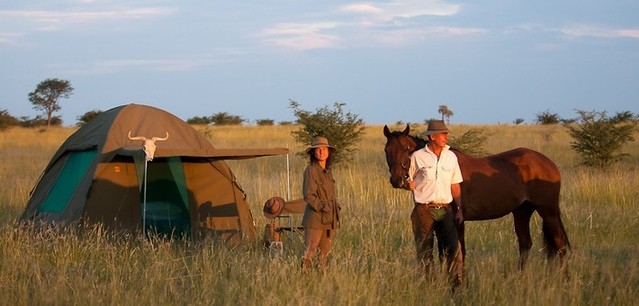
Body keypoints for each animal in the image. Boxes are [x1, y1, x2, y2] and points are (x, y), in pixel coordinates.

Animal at [382, 125, 572, 270]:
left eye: (406, 149)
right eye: (387, 150)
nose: (397, 180)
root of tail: (549, 164)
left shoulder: (457, 221)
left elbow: (458, 253)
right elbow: (444, 254)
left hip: (548, 212)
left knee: (560, 244)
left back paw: (564, 280)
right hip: (522, 211)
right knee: (525, 245)